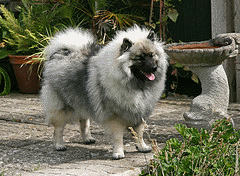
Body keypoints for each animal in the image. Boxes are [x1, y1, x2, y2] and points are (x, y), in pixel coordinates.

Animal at [40, 25, 169, 160]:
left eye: (152, 55)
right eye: (139, 58)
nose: (154, 67)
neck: (136, 84)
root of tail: (63, 51)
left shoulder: (139, 114)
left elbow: (139, 134)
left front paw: (142, 147)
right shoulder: (115, 118)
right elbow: (118, 137)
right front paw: (118, 153)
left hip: (83, 99)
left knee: (84, 122)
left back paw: (87, 138)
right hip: (62, 107)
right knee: (58, 128)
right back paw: (59, 145)